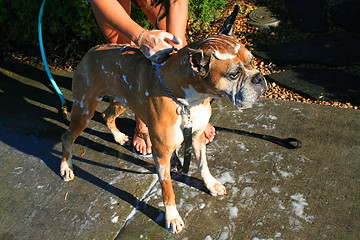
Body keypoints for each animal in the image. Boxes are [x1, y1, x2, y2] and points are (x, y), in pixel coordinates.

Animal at [60, 6, 266, 234]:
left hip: (123, 100)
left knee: (107, 115)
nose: (259, 78)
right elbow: (168, 190)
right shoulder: (162, 156)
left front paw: (210, 184)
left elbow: (203, 165)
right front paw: (172, 217)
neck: (190, 100)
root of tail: (92, 50)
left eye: (251, 61)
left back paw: (118, 137)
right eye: (234, 74)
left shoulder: (197, 137)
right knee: (67, 137)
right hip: (84, 110)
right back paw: (66, 167)